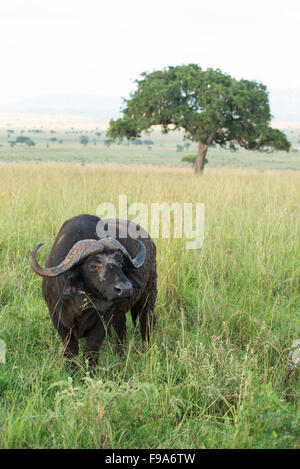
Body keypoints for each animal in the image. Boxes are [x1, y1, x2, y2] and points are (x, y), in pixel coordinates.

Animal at [28, 213, 157, 366]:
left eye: (120, 262)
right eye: (93, 266)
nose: (125, 289)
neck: (80, 304)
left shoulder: (103, 321)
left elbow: (90, 352)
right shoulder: (58, 319)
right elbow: (70, 351)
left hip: (148, 297)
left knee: (146, 323)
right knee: (121, 329)